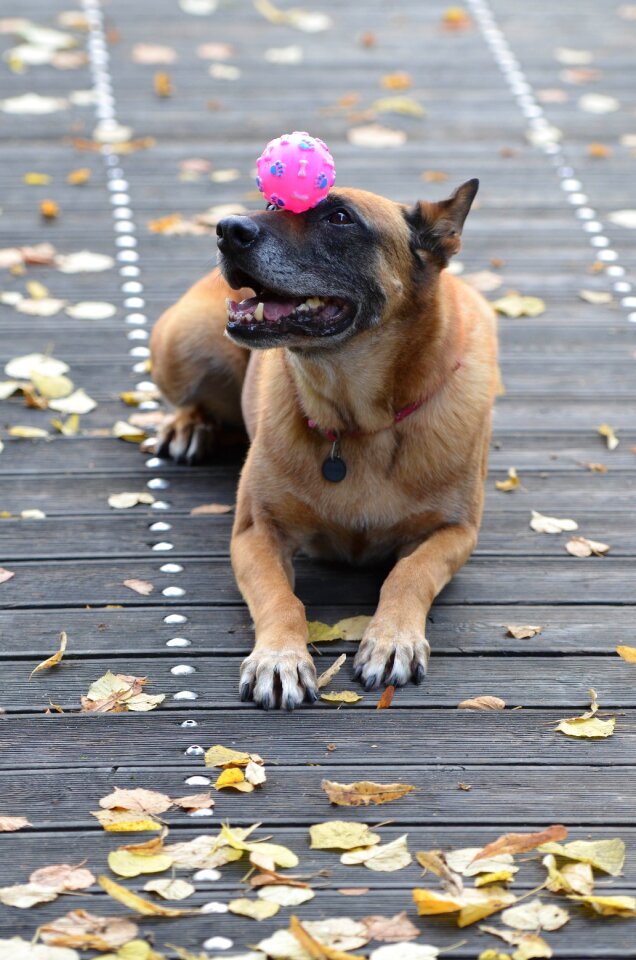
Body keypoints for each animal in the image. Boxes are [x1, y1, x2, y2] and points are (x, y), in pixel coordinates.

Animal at [152, 180, 500, 708]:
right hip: (182, 345)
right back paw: (189, 425)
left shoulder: (455, 532)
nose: (228, 229)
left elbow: (409, 573)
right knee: (199, 400)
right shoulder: (256, 532)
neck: (360, 421)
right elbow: (281, 599)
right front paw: (279, 658)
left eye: (340, 218)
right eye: (272, 204)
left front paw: (392, 638)